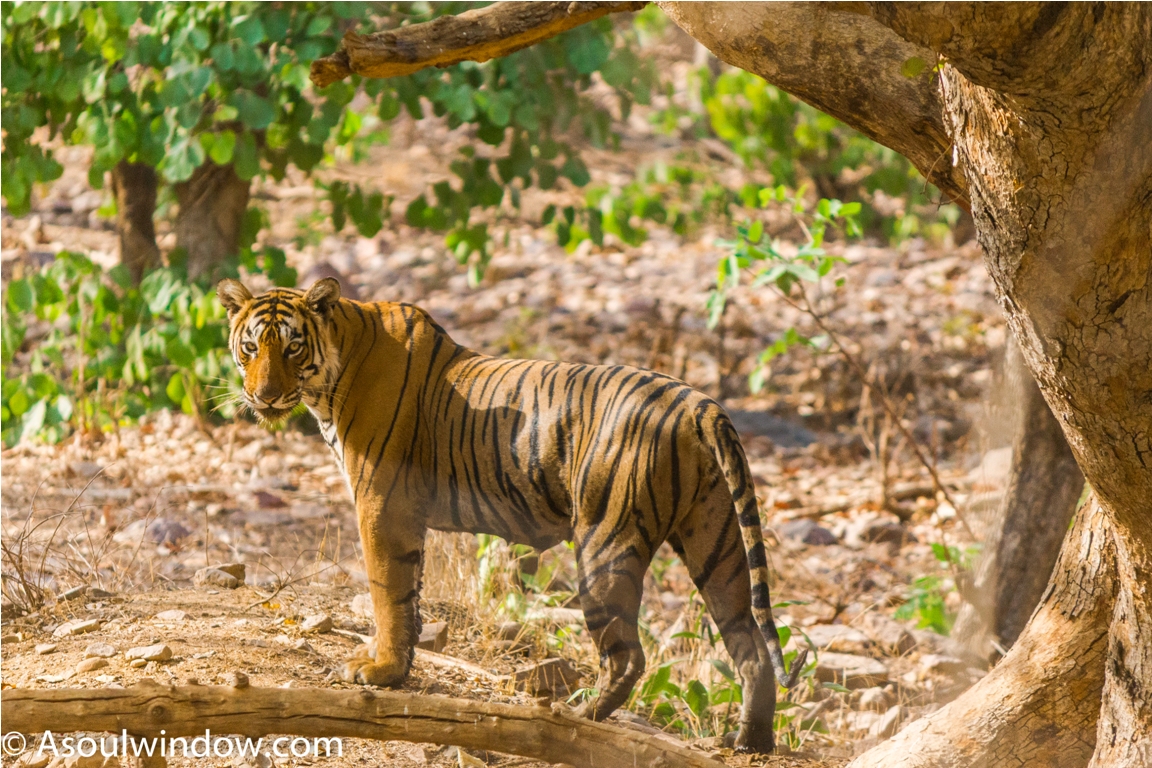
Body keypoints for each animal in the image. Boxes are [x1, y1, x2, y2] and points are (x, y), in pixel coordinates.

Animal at [217, 277, 811, 755]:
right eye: (251, 347)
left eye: (293, 347)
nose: (263, 396)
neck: (334, 369)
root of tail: (697, 402)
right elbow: (409, 594)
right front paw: (399, 669)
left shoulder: (380, 503)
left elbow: (387, 591)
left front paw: (378, 672)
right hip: (716, 540)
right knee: (749, 644)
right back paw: (750, 741)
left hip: (606, 543)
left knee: (628, 656)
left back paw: (577, 720)